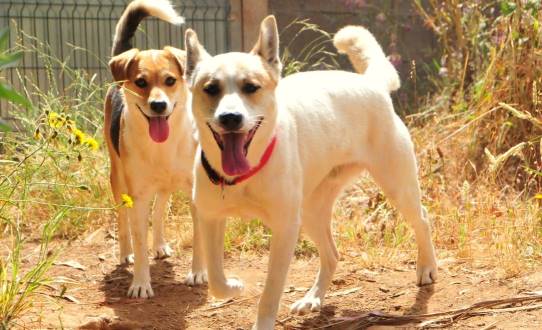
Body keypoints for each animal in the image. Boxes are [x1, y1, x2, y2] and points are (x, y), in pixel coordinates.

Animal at [105, 0, 207, 300]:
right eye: (140, 82)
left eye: (170, 80)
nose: (159, 106)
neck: (163, 147)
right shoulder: (137, 196)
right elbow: (139, 241)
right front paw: (140, 283)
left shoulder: (196, 193)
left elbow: (199, 237)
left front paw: (198, 273)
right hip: (118, 180)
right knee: (124, 221)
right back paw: (125, 253)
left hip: (165, 186)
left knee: (160, 210)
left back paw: (160, 245)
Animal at [185, 15, 440, 330]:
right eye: (211, 88)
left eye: (251, 87)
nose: (230, 118)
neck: (246, 174)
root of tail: (372, 84)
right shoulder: (209, 218)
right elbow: (216, 278)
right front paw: (233, 286)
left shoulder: (285, 228)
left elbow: (270, 293)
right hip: (310, 211)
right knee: (332, 254)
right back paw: (313, 298)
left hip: (397, 186)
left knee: (423, 219)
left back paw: (427, 268)